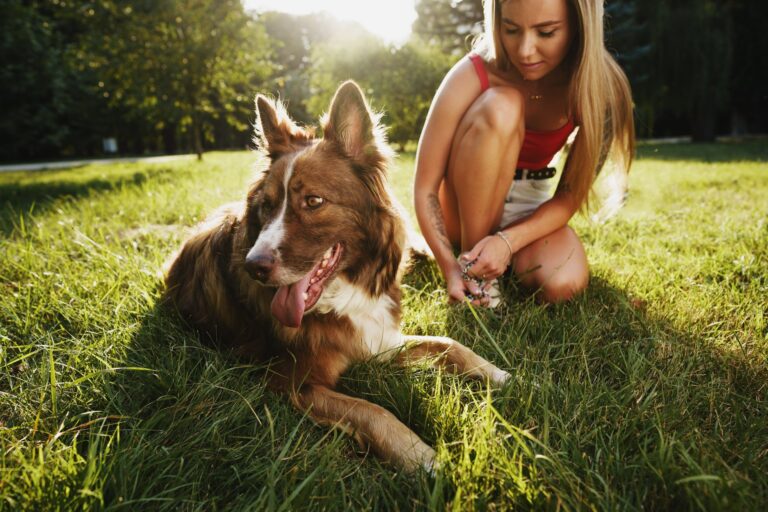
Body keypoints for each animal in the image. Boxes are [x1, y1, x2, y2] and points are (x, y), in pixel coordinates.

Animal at [164, 81, 510, 472]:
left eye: (314, 201)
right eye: (266, 207)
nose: (254, 266)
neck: (343, 291)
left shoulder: (377, 339)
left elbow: (447, 342)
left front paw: (501, 375)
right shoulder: (290, 382)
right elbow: (372, 411)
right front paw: (423, 456)